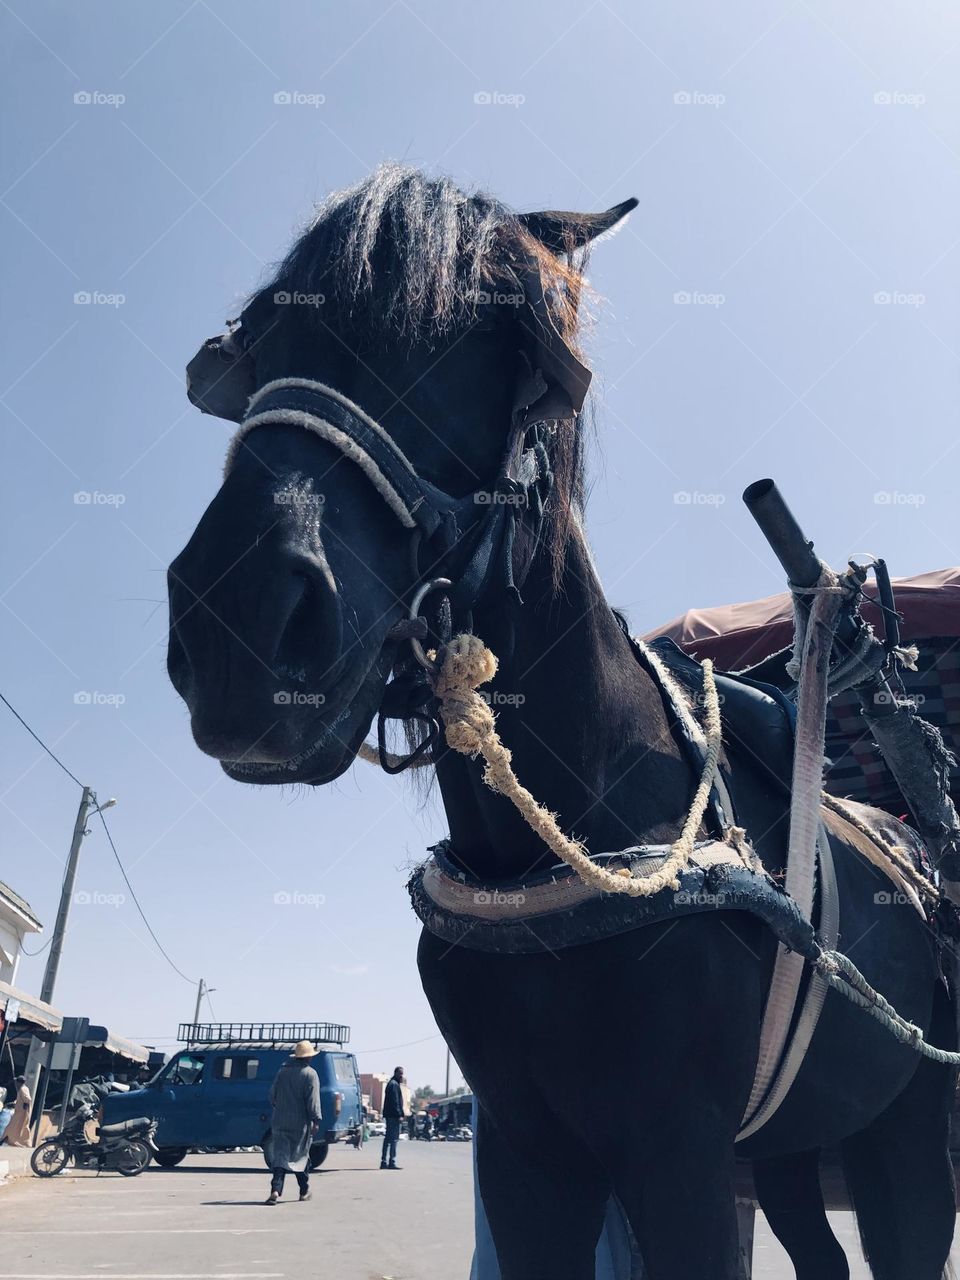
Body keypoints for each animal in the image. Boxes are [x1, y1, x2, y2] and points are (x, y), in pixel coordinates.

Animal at [165, 165, 957, 1274]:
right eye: (259, 342)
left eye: (496, 342)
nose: (237, 621)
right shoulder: (527, 1149)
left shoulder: (681, 1155)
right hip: (798, 1148)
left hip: (906, 1132)